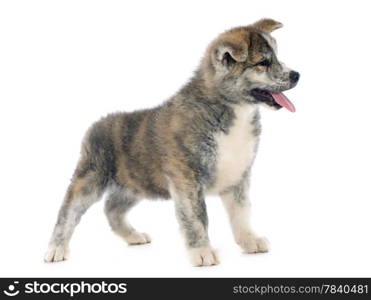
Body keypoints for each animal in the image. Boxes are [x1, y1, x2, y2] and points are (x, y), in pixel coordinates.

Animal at [44, 18, 300, 266]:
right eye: (263, 63)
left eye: (276, 57)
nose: (296, 75)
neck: (231, 109)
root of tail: (95, 125)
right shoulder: (186, 179)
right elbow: (196, 217)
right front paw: (202, 252)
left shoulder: (238, 176)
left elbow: (242, 213)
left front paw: (249, 240)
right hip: (91, 177)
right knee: (69, 210)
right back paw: (56, 248)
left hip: (135, 183)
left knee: (112, 208)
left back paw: (133, 236)